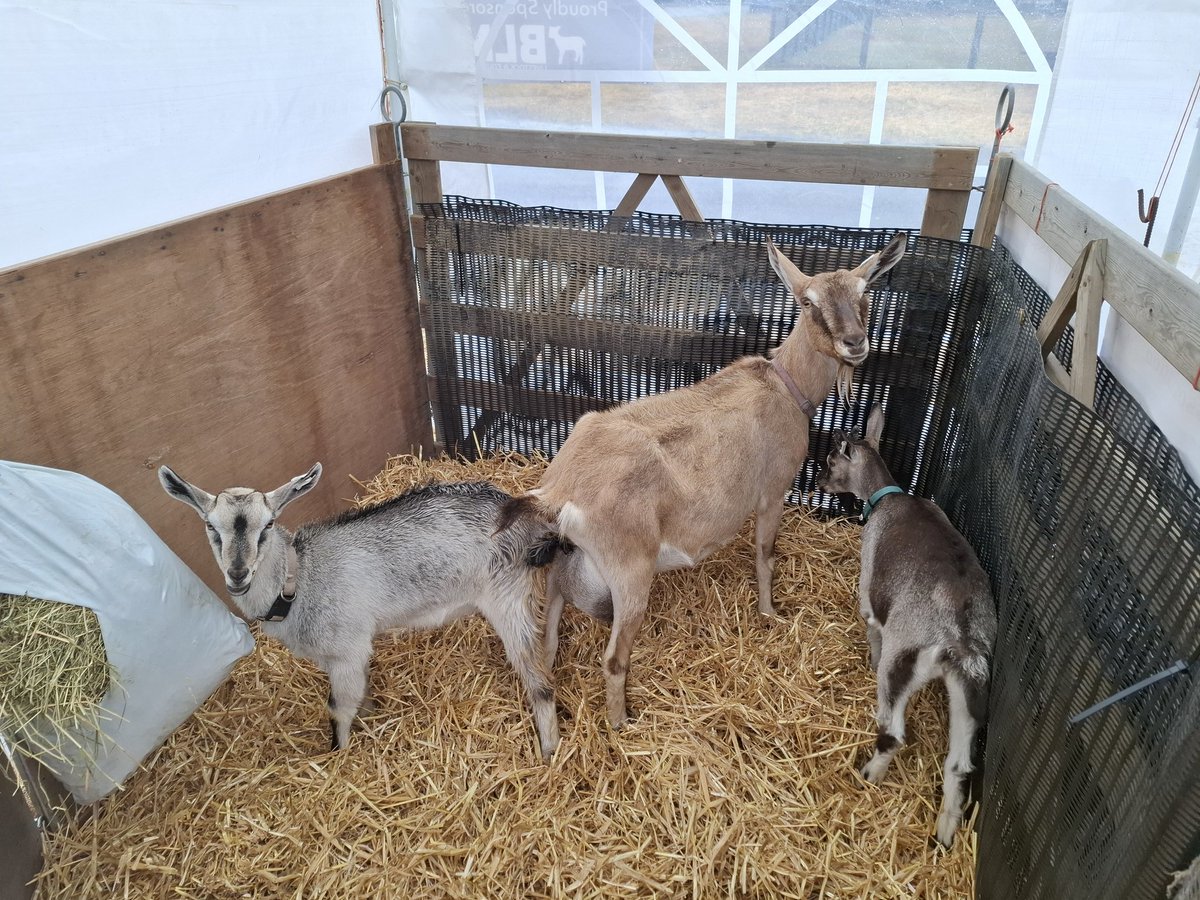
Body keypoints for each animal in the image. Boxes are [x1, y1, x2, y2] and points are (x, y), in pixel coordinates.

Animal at [158, 464, 561, 759]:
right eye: (211, 527)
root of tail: (526, 512)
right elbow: (360, 694)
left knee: (539, 681)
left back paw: (549, 751)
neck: (300, 579)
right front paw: (367, 719)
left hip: (508, 598)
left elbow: (338, 706)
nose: (238, 574)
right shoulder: (349, 652)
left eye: (268, 525)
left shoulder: (345, 651)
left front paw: (339, 755)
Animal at [500, 233, 908, 729]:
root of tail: (561, 489)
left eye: (866, 291)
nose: (855, 343)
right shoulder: (773, 492)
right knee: (614, 660)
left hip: (569, 561)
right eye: (807, 301)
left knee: (550, 620)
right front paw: (769, 613)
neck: (786, 387)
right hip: (630, 573)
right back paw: (622, 723)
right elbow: (766, 556)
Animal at [815, 405, 997, 847]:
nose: (818, 480)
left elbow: (871, 626)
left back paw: (868, 774)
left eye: (831, 460)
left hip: (901, 663)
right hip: (969, 692)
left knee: (895, 731)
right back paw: (944, 833)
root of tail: (959, 637)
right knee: (959, 764)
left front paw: (868, 660)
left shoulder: (869, 595)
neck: (888, 497)